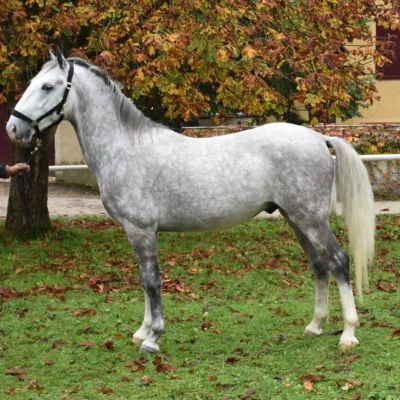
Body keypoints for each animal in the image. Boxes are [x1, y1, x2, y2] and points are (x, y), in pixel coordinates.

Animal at [7, 49, 376, 354]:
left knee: (338, 262)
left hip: (310, 219)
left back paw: (348, 334)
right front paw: (142, 331)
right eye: (32, 83)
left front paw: (153, 337)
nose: (13, 129)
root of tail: (319, 138)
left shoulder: (141, 229)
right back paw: (315, 326)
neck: (127, 148)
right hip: (295, 218)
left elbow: (152, 280)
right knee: (319, 265)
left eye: (47, 87)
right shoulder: (137, 232)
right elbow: (144, 280)